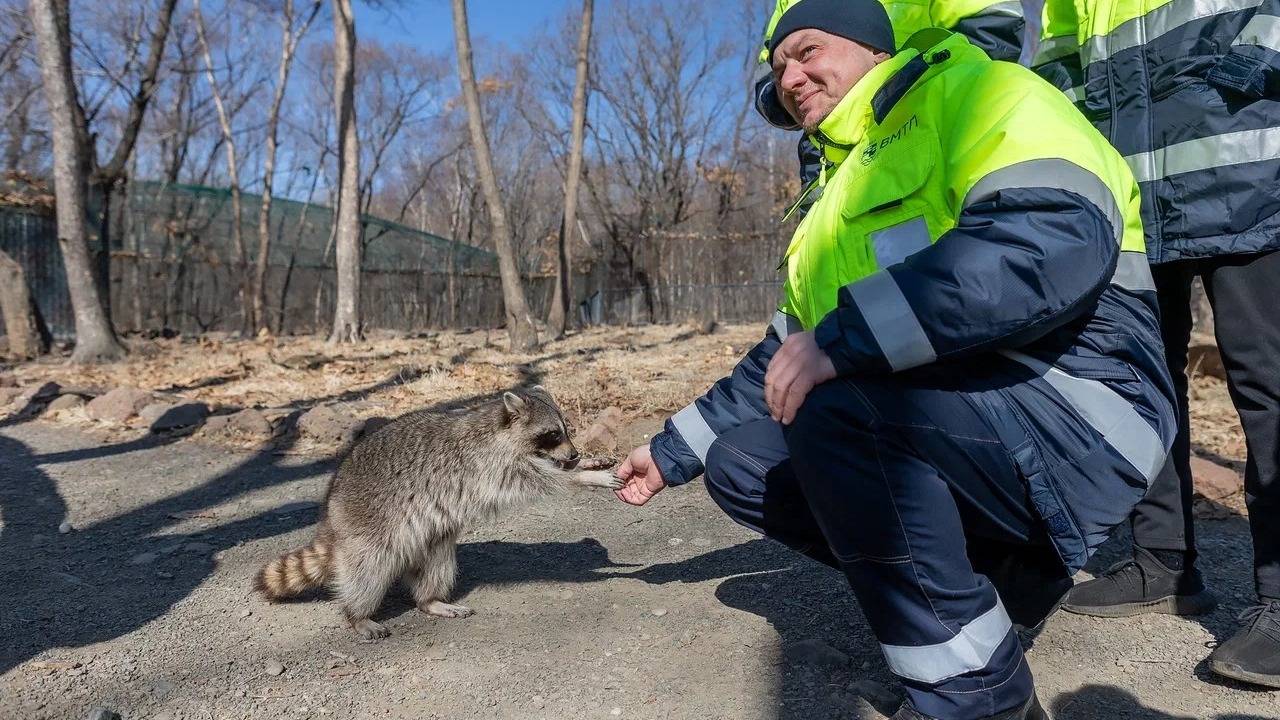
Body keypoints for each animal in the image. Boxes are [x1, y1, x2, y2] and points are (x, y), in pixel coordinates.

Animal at [252, 384, 622, 635]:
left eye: (566, 430)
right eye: (552, 434)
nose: (574, 455)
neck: (500, 428)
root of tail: (332, 513)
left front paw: (587, 463)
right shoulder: (488, 465)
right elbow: (539, 480)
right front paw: (584, 476)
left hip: (429, 537)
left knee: (437, 563)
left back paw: (430, 600)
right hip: (369, 526)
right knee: (367, 572)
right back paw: (357, 614)